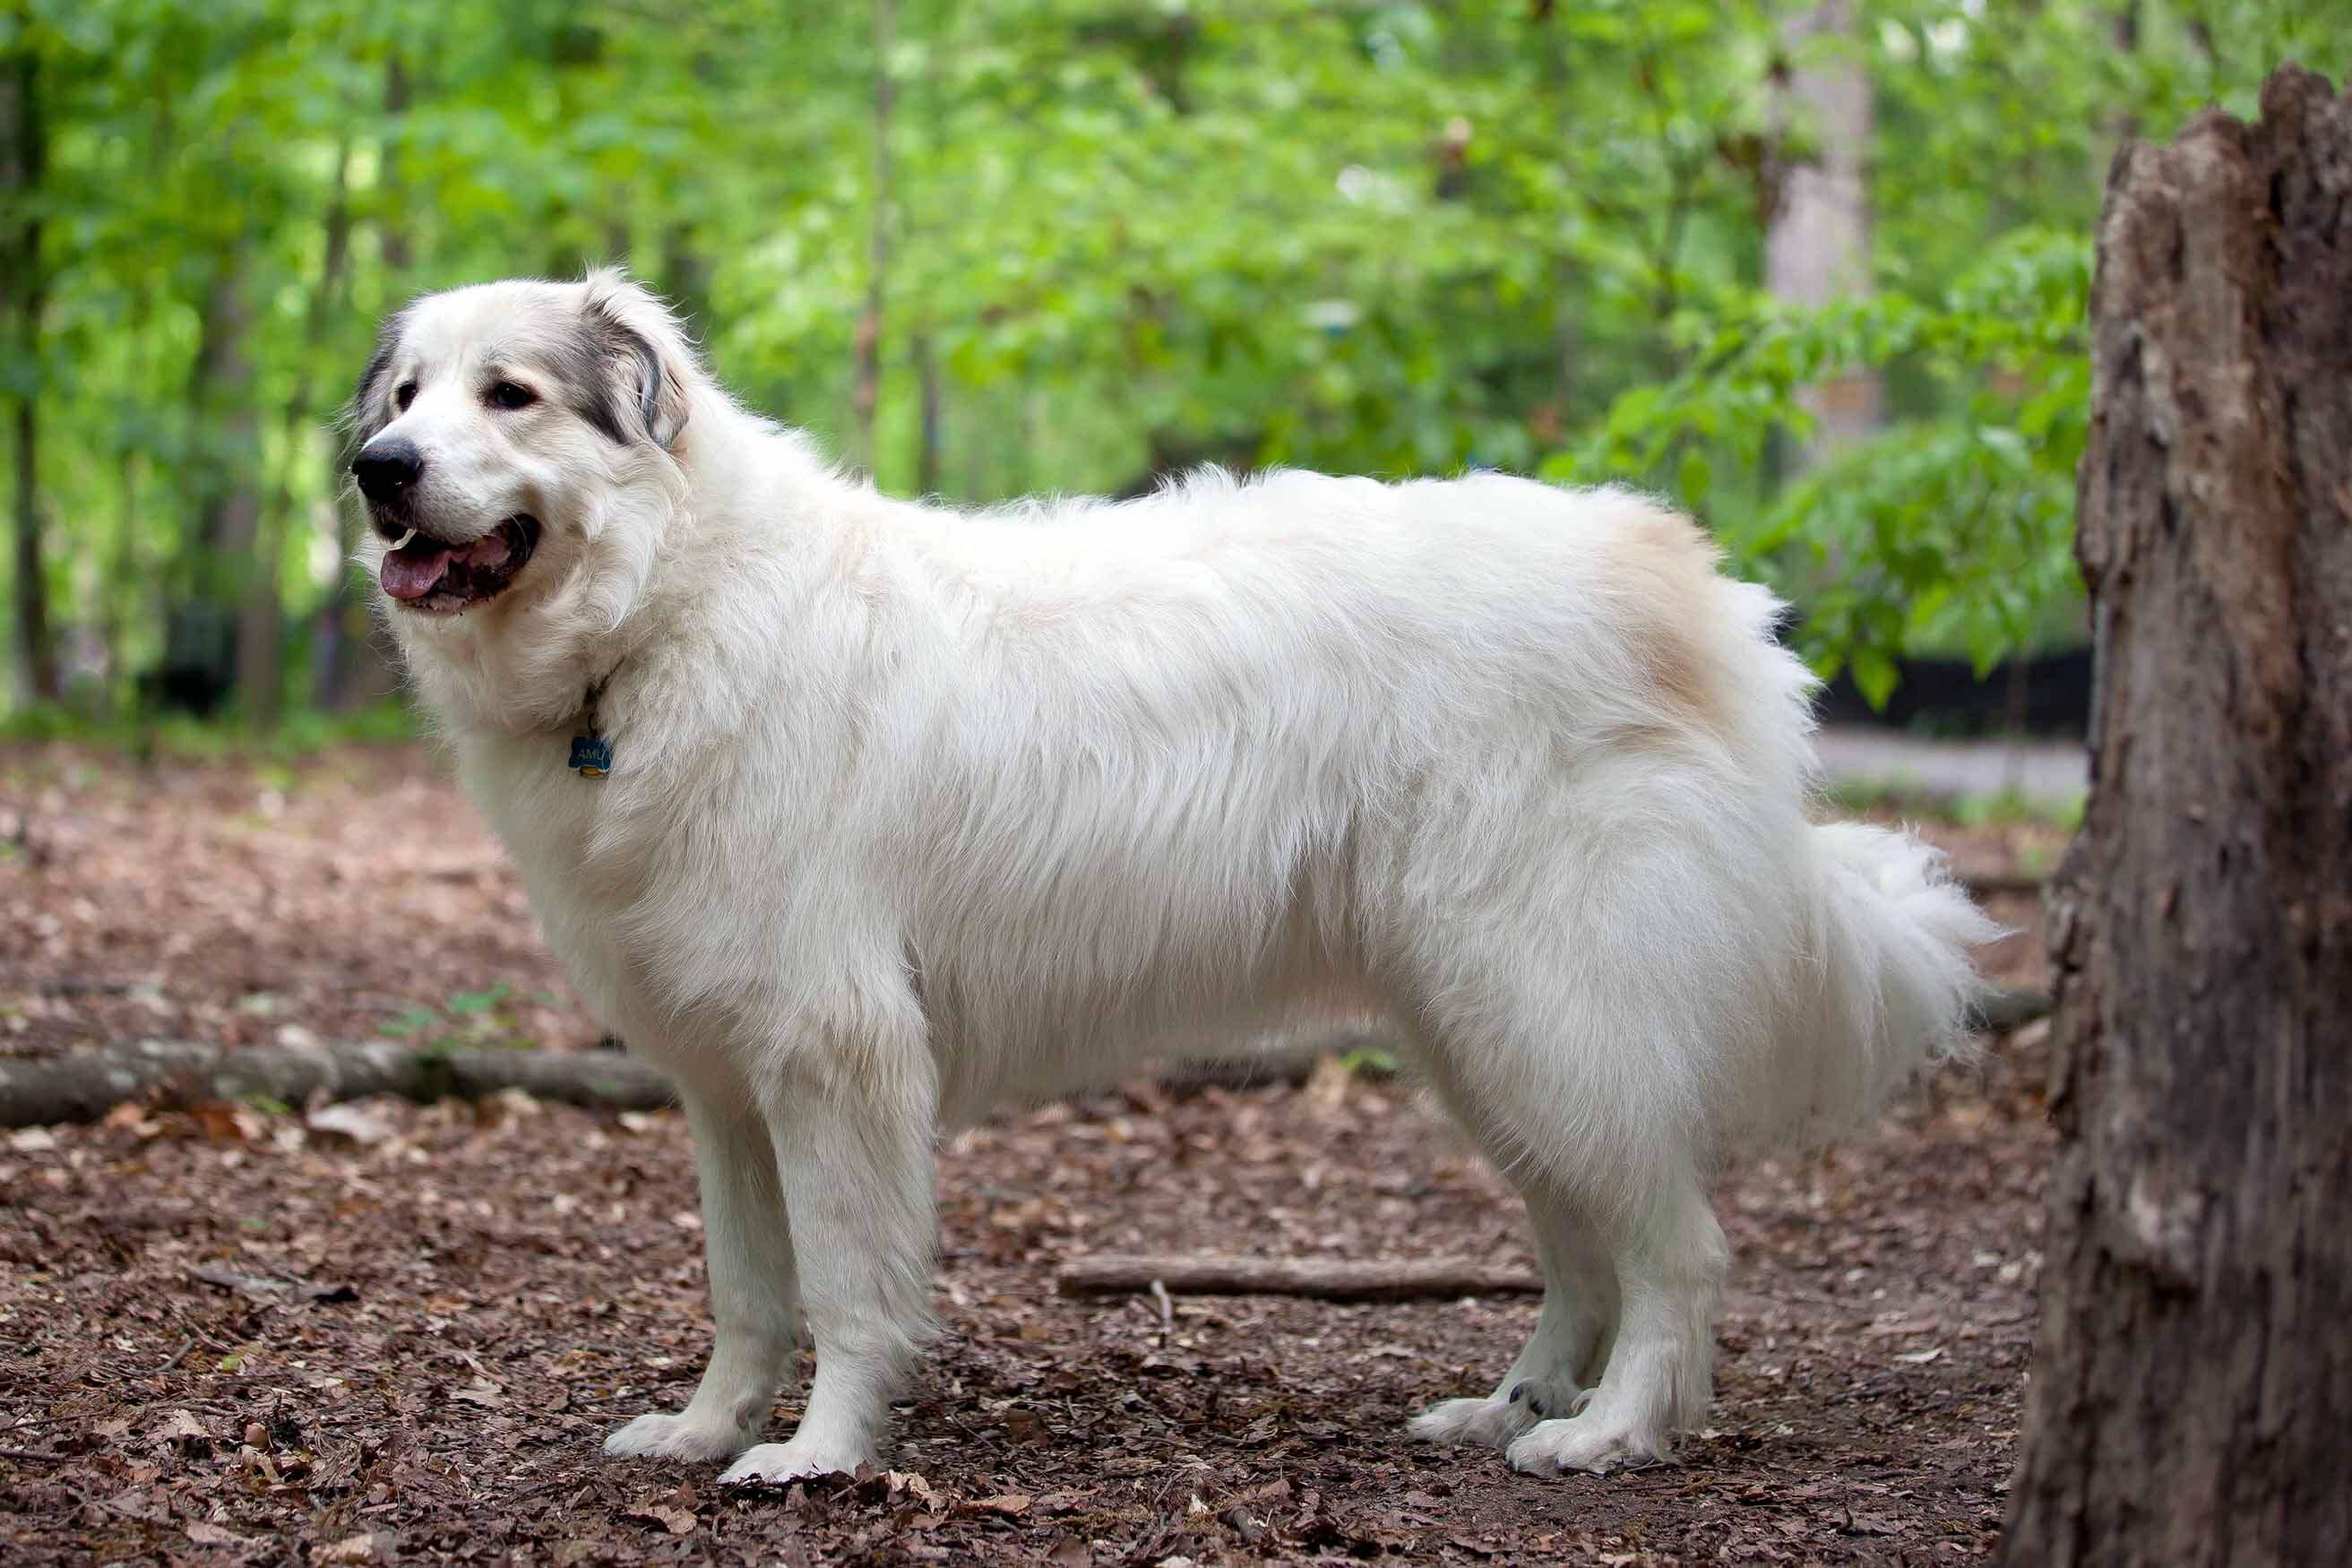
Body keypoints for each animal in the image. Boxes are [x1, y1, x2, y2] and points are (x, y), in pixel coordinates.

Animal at [348, 270, 1994, 1486]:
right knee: (1587, 1245)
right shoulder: (726, 1085)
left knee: (1678, 1253)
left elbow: (845, 1286)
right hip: (1483, 1032)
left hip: (1548, 1008)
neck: (663, 617)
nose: (376, 471)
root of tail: (1685, 578)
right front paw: (703, 1431)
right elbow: (748, 1292)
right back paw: (1514, 1405)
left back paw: (1609, 1432)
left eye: (510, 395)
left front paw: (818, 1455)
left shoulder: (834, 1055)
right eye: (408, 394)